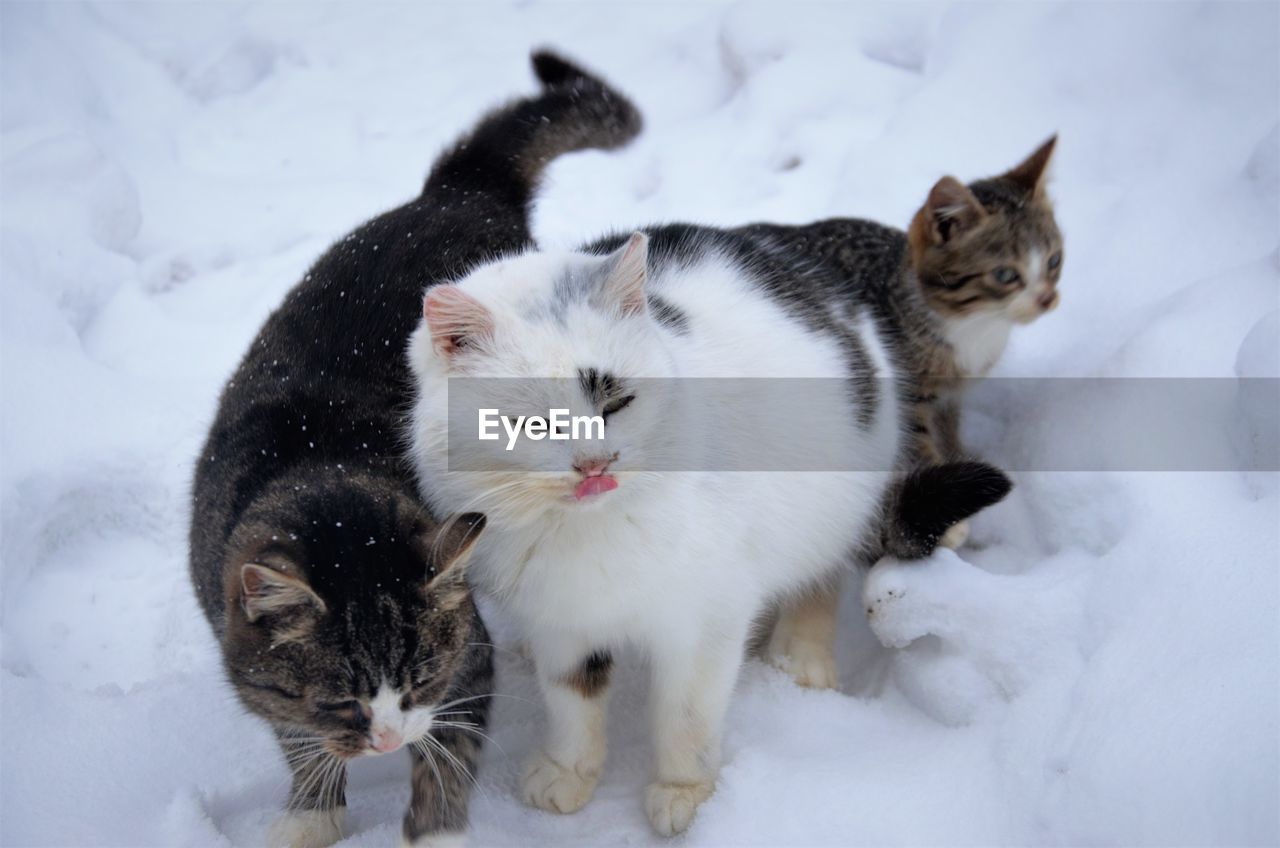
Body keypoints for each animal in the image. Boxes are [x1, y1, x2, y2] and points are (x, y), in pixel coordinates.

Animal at [186, 48, 640, 848]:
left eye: (421, 677)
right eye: (340, 699)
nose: (386, 741)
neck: (323, 473)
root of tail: (454, 188)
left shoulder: (465, 664)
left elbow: (447, 755)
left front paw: (434, 827)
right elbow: (296, 735)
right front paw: (312, 809)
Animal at [409, 213, 1008, 835]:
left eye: (617, 402)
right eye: (530, 424)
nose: (595, 463)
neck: (589, 530)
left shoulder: (705, 615)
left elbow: (687, 715)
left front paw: (685, 795)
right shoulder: (561, 619)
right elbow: (573, 698)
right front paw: (567, 771)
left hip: (837, 490)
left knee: (821, 568)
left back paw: (801, 656)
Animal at [742, 134, 1059, 691]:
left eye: (1057, 261)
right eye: (1006, 275)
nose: (1047, 298)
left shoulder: (950, 396)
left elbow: (949, 434)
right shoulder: (902, 392)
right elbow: (915, 443)